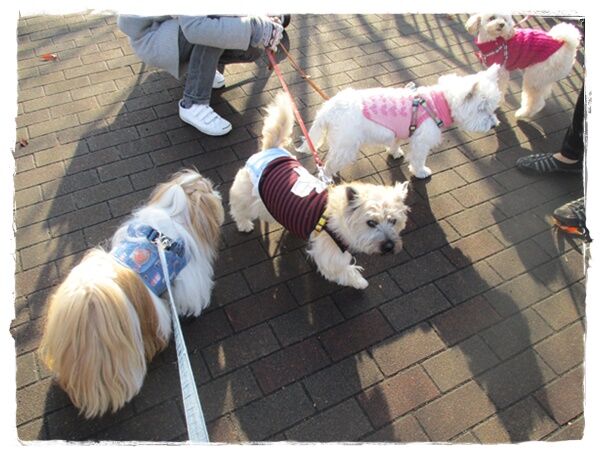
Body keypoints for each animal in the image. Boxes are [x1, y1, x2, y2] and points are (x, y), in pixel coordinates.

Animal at [229, 93, 410, 290]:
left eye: (393, 221)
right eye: (371, 223)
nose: (390, 247)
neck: (334, 218)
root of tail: (270, 151)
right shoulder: (330, 255)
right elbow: (344, 271)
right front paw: (360, 282)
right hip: (245, 193)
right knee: (238, 208)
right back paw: (244, 224)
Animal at [296, 64, 502, 179]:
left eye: (492, 108)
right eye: (482, 108)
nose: (494, 125)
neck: (437, 104)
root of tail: (329, 108)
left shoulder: (401, 131)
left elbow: (395, 143)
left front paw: (395, 153)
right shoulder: (421, 142)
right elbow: (418, 159)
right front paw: (421, 172)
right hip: (346, 145)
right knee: (328, 165)